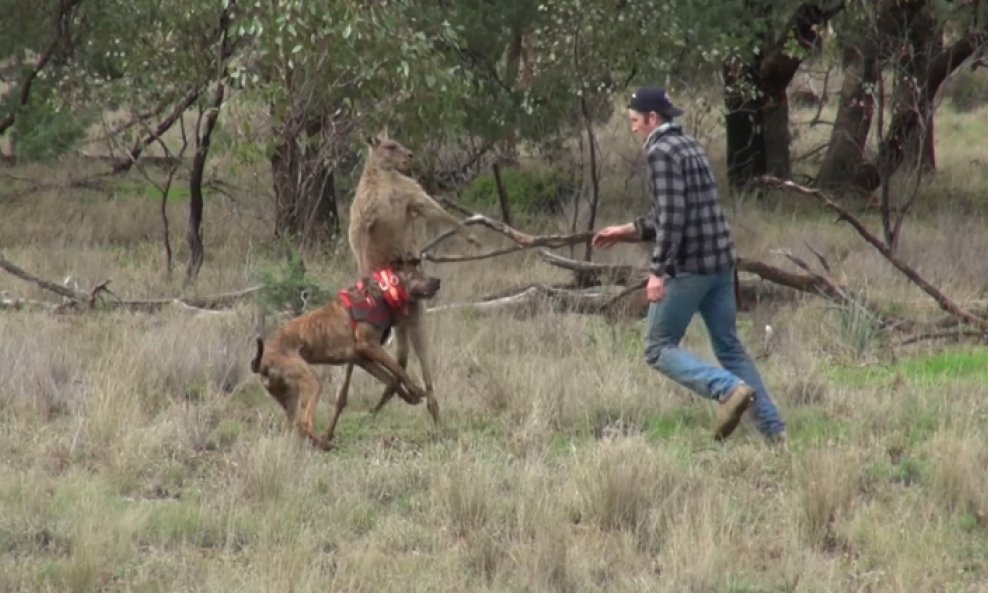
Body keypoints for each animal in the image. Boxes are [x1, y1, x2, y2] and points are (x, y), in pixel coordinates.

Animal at [253, 264, 442, 448]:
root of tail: (263, 363)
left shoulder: (363, 358)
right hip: (312, 382)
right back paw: (325, 444)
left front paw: (410, 396)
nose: (438, 281)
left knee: (294, 425)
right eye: (416, 274)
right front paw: (417, 390)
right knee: (304, 422)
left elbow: (390, 378)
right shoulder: (368, 346)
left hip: (288, 397)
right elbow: (398, 370)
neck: (381, 293)